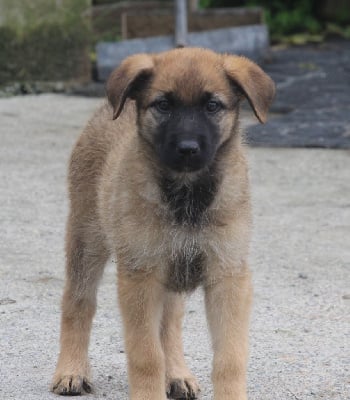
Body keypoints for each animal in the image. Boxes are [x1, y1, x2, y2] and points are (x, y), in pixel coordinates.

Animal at [50, 47, 274, 400]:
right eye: (163, 105)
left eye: (212, 106)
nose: (187, 149)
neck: (186, 196)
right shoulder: (141, 277)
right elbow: (146, 354)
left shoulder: (228, 276)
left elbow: (230, 357)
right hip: (87, 240)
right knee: (78, 302)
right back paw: (71, 370)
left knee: (169, 323)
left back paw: (177, 374)